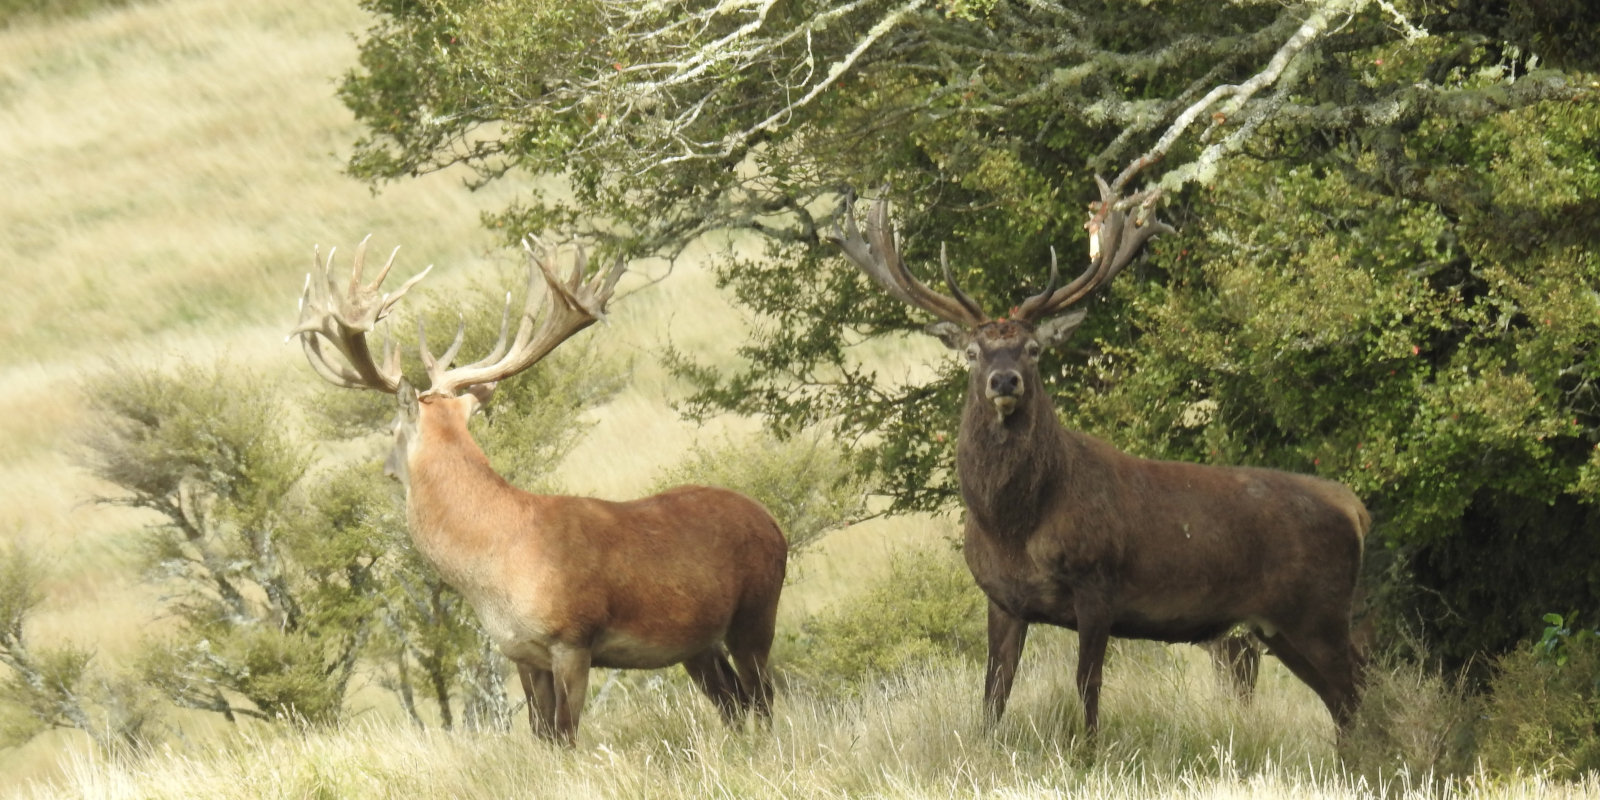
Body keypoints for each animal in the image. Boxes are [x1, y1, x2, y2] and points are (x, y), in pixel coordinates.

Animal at [290, 237, 788, 745]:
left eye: (392, 430)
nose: (386, 468)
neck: (497, 564)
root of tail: (772, 521)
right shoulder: (521, 652)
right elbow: (542, 733)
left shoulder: (572, 638)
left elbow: (566, 734)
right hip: (697, 642)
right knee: (732, 700)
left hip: (757, 609)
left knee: (763, 694)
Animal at [829, 182, 1368, 737]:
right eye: (972, 353)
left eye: (1033, 349)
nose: (1005, 381)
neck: (1014, 526)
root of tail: (1353, 506)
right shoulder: (1001, 598)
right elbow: (994, 695)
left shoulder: (1098, 584)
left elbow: (1087, 687)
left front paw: (1087, 750)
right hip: (1282, 624)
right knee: (1347, 700)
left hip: (1319, 610)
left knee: (1357, 692)